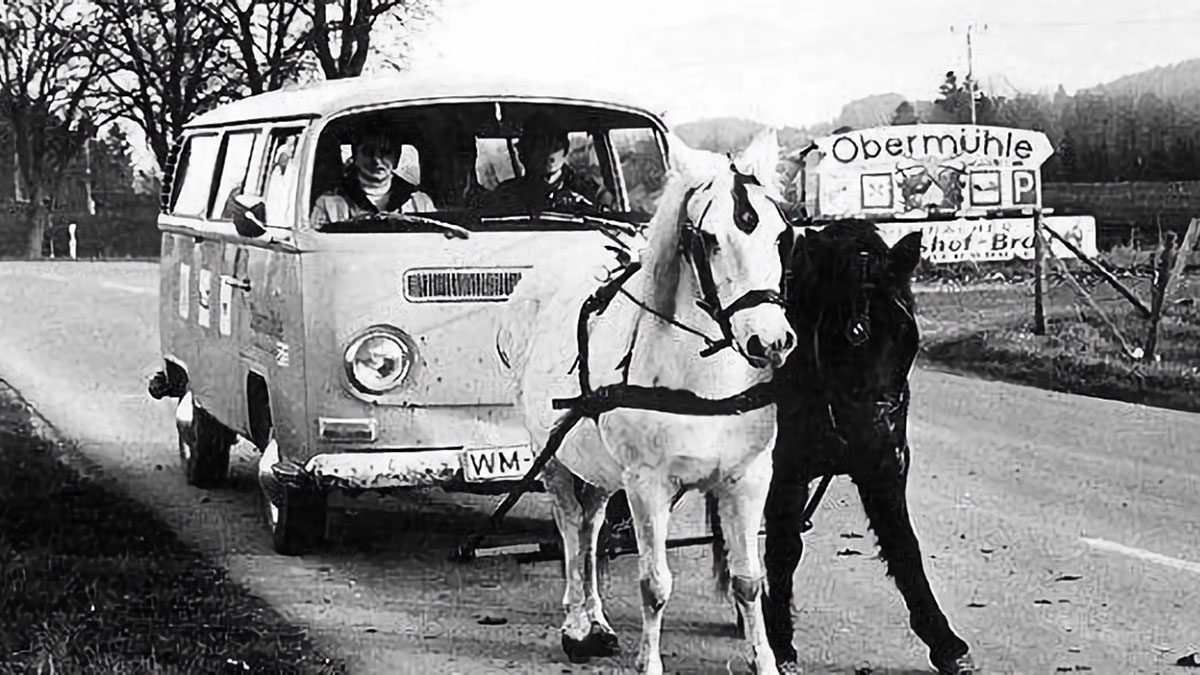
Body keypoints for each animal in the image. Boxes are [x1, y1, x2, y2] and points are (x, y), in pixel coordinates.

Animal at [496, 128, 796, 667]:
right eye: (707, 239)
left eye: (783, 236)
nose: (771, 342)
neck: (704, 380)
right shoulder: (647, 484)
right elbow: (654, 585)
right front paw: (649, 661)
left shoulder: (747, 478)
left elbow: (747, 580)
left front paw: (763, 661)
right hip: (552, 458)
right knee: (570, 529)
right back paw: (576, 624)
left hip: (596, 467)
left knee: (591, 527)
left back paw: (595, 619)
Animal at [705, 219, 969, 667]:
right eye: (855, 333)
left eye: (905, 330)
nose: (881, 429)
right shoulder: (786, 471)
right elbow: (784, 547)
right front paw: (780, 636)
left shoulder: (884, 470)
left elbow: (903, 546)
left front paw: (944, 640)